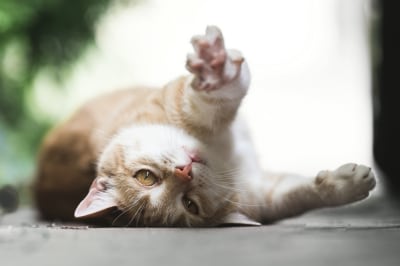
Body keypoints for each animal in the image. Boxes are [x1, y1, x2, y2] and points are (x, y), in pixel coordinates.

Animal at [32, 25, 376, 227]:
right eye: (190, 205)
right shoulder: (264, 195)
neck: (221, 151)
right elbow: (300, 193)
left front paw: (214, 69)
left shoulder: (174, 103)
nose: (184, 172)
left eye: (145, 177)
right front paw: (352, 184)